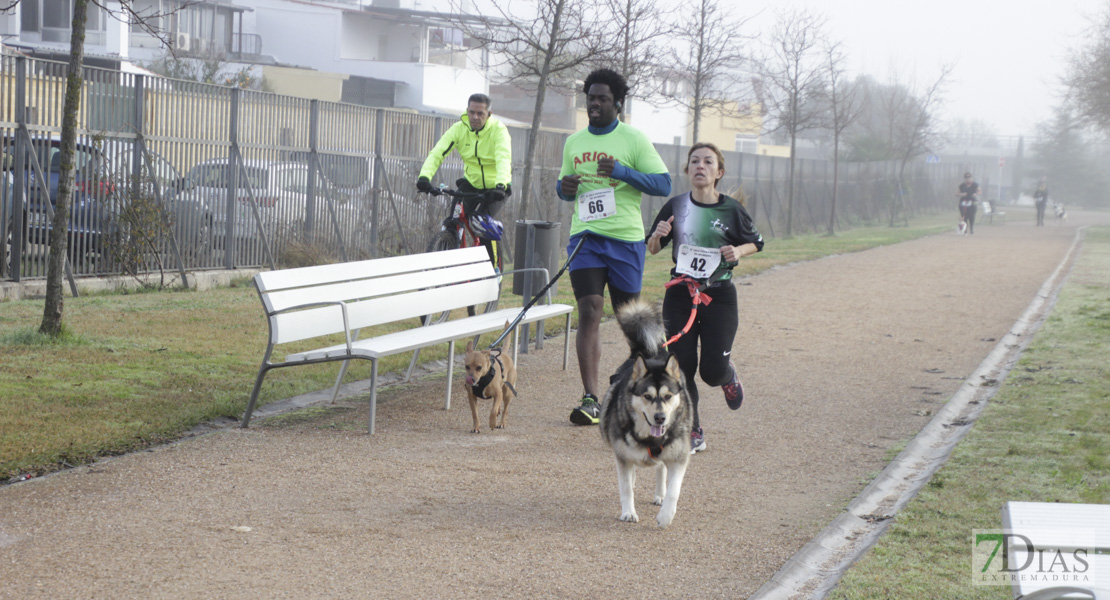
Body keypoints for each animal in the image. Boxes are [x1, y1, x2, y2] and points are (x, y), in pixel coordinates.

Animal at [599, 297, 692, 523]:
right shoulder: (622, 457)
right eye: (647, 396)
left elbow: (674, 488)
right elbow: (626, 488)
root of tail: (651, 352)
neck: (650, 439)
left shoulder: (679, 457)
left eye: (668, 396)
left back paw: (660, 495)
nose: (660, 418)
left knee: (661, 469)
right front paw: (628, 512)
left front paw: (665, 516)